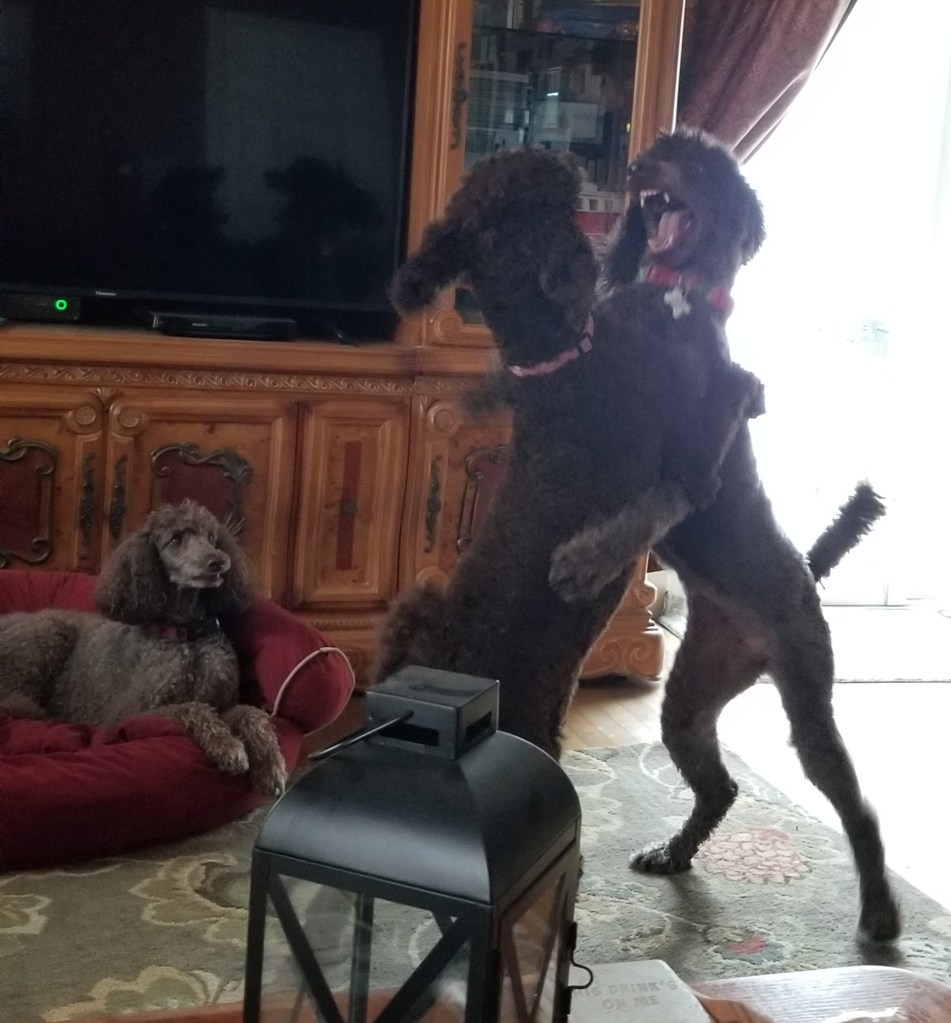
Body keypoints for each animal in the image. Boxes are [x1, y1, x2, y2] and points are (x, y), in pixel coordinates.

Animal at [0, 499, 286, 795]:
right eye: (175, 539)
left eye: (211, 537)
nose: (218, 561)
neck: (187, 636)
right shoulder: (134, 712)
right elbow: (192, 709)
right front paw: (227, 746)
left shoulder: (225, 702)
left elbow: (252, 714)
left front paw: (270, 765)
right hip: (45, 637)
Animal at [554, 128, 900, 944]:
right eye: (661, 146)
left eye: (702, 160)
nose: (638, 165)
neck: (672, 301)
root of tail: (806, 571)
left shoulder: (697, 464)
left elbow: (652, 503)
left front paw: (582, 561)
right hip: (691, 697)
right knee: (720, 787)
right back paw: (676, 850)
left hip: (807, 699)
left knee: (857, 807)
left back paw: (878, 907)